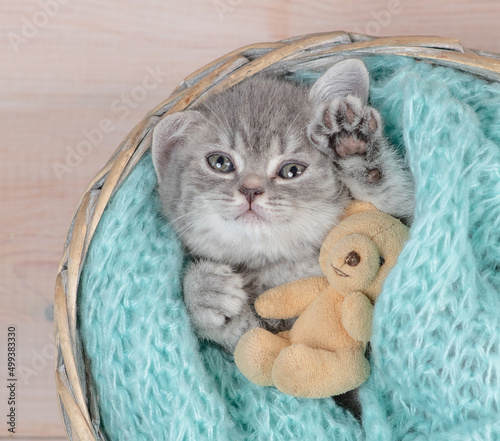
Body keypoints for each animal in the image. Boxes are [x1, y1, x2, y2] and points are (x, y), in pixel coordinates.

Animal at [152, 60, 414, 352]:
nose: (251, 190)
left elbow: (393, 198)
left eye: (292, 171)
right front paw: (203, 289)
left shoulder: (402, 216)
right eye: (220, 163)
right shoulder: (264, 331)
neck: (281, 265)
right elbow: (249, 340)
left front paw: (353, 145)